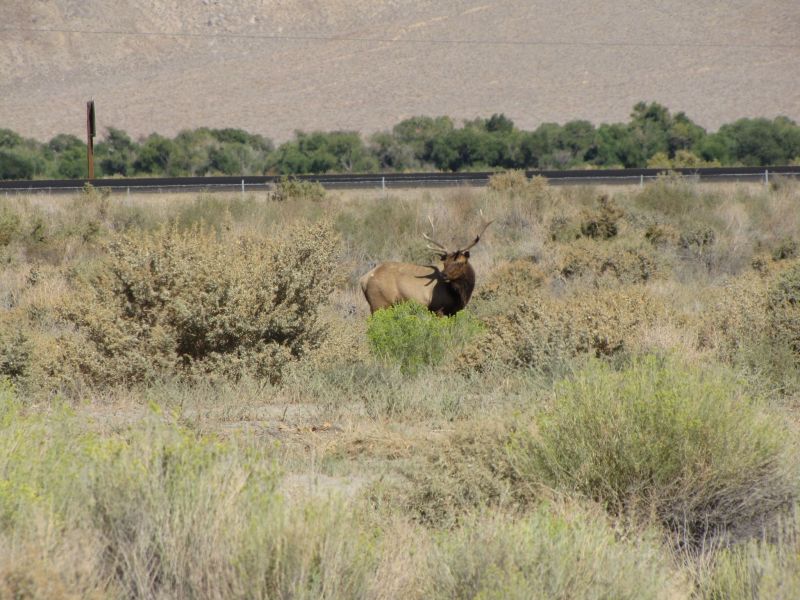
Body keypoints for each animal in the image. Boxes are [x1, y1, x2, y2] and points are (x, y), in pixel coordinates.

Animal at [360, 217, 493, 316]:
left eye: (459, 262)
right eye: (445, 263)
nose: (443, 275)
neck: (460, 296)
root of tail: (363, 280)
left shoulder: (453, 312)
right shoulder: (438, 308)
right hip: (380, 303)